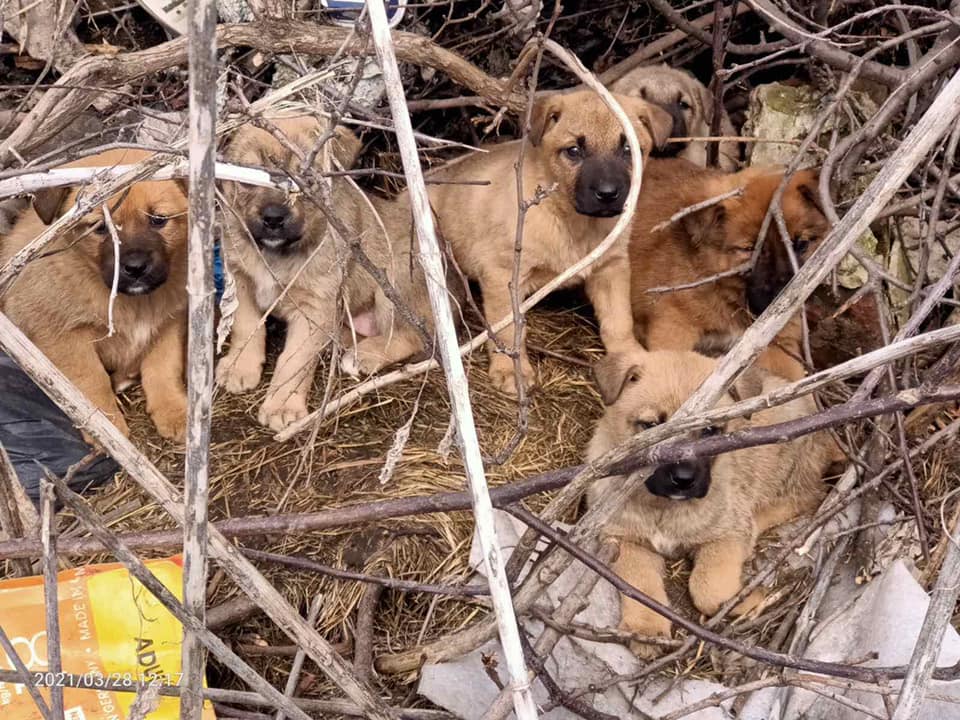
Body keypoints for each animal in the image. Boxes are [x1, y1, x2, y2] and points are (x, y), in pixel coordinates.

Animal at [0, 148, 189, 438]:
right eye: (100, 228)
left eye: (158, 220)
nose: (135, 268)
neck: (134, 302)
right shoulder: (65, 337)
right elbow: (92, 383)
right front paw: (108, 430)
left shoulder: (170, 322)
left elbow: (164, 367)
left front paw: (175, 412)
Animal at [420, 90, 676, 396]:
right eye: (574, 151)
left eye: (629, 150)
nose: (608, 194)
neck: (574, 222)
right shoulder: (503, 275)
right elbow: (508, 330)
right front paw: (511, 371)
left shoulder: (611, 268)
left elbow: (619, 321)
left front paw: (629, 355)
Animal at [584, 346, 832, 656]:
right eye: (651, 426)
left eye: (710, 431)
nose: (684, 479)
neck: (663, 508)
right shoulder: (622, 540)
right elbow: (640, 584)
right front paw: (646, 629)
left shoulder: (726, 536)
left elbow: (708, 588)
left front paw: (747, 601)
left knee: (806, 496)